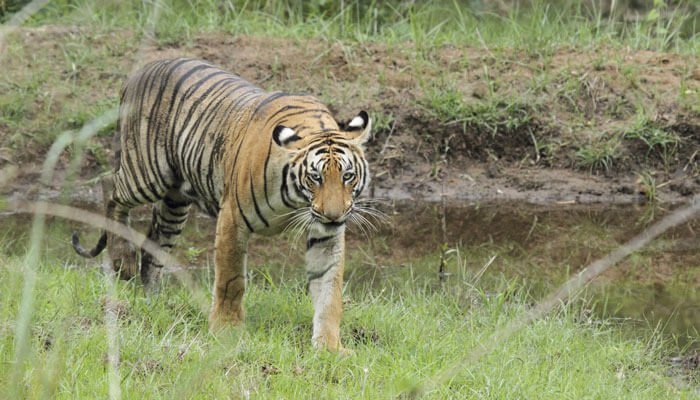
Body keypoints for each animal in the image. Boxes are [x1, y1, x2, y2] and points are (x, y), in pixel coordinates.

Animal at [72, 57, 374, 352]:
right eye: (315, 177)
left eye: (347, 176)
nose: (333, 215)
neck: (296, 200)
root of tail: (141, 68)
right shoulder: (233, 218)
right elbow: (231, 280)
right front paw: (226, 329)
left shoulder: (325, 236)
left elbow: (329, 291)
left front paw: (329, 346)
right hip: (146, 174)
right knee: (112, 193)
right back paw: (122, 260)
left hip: (175, 203)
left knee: (153, 246)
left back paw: (153, 299)